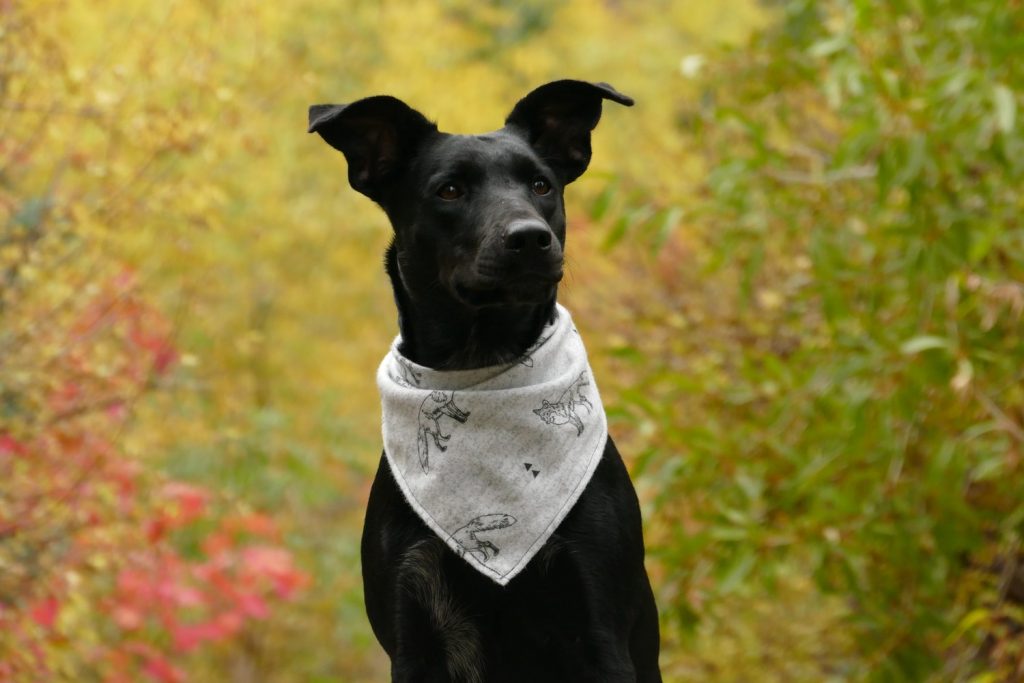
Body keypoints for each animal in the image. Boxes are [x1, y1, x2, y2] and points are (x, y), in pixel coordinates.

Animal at [307, 81, 659, 683]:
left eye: (541, 185)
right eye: (449, 190)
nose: (530, 238)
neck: (481, 364)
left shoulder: (599, 625)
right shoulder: (413, 628)